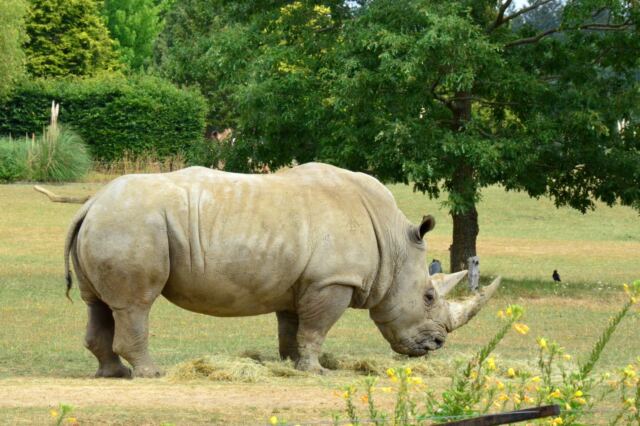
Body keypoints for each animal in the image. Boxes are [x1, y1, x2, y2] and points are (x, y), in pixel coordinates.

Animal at [64, 163, 499, 378]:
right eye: (428, 296)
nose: (436, 345)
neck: (393, 243)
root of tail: (91, 203)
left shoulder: (301, 282)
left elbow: (292, 330)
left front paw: (292, 366)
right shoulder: (332, 281)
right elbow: (316, 329)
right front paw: (316, 372)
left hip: (112, 223)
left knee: (97, 304)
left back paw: (112, 373)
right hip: (132, 224)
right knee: (136, 304)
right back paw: (151, 374)